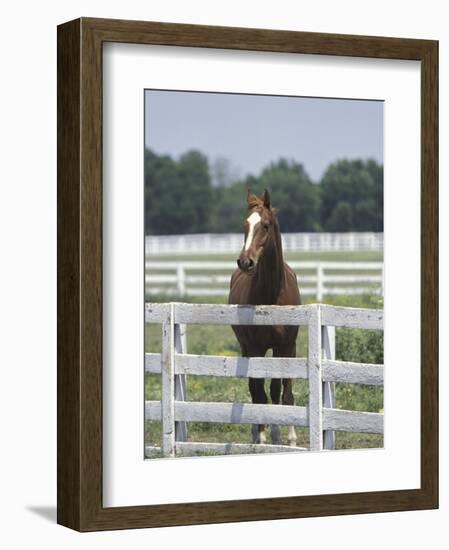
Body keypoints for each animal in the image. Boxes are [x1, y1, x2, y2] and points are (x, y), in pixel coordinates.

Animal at [228, 190, 300, 448]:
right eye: (245, 225)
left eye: (265, 225)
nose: (245, 261)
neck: (273, 294)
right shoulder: (256, 348)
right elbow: (260, 394)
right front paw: (261, 436)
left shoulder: (287, 347)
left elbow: (284, 393)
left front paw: (290, 439)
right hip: (246, 348)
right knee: (255, 389)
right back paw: (256, 434)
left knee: (275, 389)